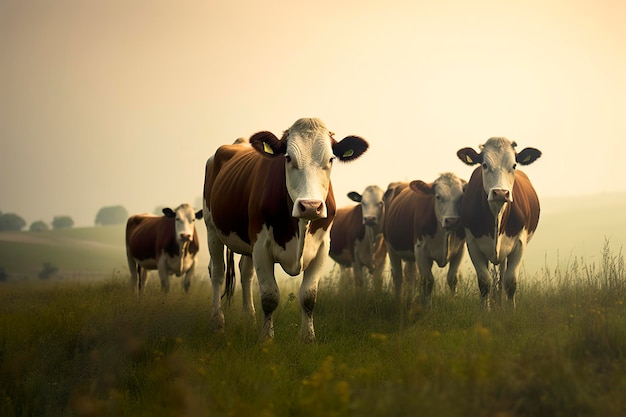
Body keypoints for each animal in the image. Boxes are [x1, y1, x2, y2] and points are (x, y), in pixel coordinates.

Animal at [201, 117, 366, 342]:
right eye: (288, 158)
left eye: (331, 159)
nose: (311, 206)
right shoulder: (261, 245)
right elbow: (269, 296)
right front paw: (266, 339)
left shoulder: (322, 247)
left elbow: (309, 296)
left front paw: (308, 338)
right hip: (211, 228)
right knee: (217, 272)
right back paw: (217, 323)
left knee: (246, 273)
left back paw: (249, 318)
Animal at [378, 171, 466, 308]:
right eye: (438, 197)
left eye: (461, 197)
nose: (452, 220)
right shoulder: (421, 250)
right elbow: (427, 281)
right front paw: (427, 309)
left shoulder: (459, 249)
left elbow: (452, 279)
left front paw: (455, 304)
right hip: (390, 247)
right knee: (398, 276)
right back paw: (398, 301)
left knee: (410, 275)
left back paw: (410, 300)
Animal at [454, 137, 540, 308]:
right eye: (484, 165)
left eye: (514, 165)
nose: (500, 193)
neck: (497, 213)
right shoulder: (473, 244)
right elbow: (484, 282)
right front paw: (485, 310)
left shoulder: (519, 243)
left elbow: (510, 282)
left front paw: (510, 310)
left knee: (501, 276)